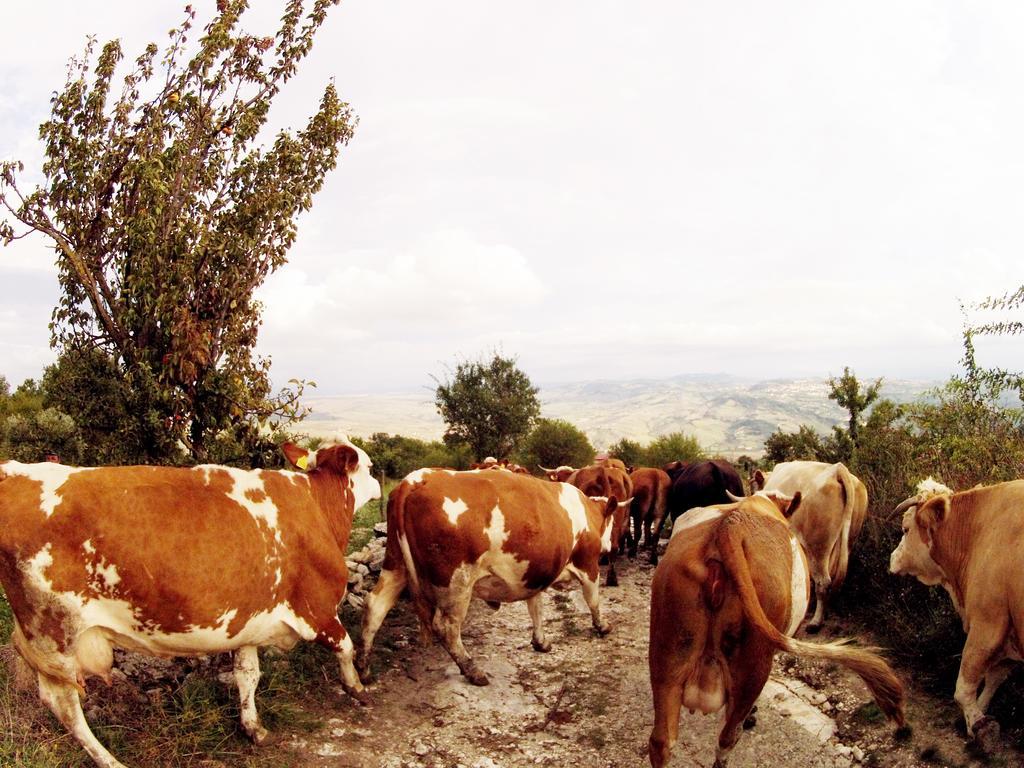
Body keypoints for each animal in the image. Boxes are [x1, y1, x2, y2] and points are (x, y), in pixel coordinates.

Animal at [0, 442, 380, 768]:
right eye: (370, 467)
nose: (378, 483)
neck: (317, 505)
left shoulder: (249, 619)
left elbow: (247, 674)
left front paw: (253, 727)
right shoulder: (316, 608)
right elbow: (345, 646)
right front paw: (358, 687)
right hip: (53, 632)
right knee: (64, 704)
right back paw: (110, 760)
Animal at [358, 468, 614, 684]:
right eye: (611, 522)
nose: (610, 547)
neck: (587, 512)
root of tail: (415, 480)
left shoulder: (533, 573)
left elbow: (536, 608)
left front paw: (540, 642)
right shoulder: (588, 564)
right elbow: (593, 599)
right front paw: (602, 626)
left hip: (395, 564)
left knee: (374, 606)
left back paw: (364, 671)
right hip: (456, 582)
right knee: (446, 626)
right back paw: (473, 671)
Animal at [888, 479, 1024, 749]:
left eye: (905, 529)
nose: (892, 557)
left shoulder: (986, 625)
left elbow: (963, 688)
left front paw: (981, 727)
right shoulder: (1009, 635)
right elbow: (993, 679)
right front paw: (973, 723)